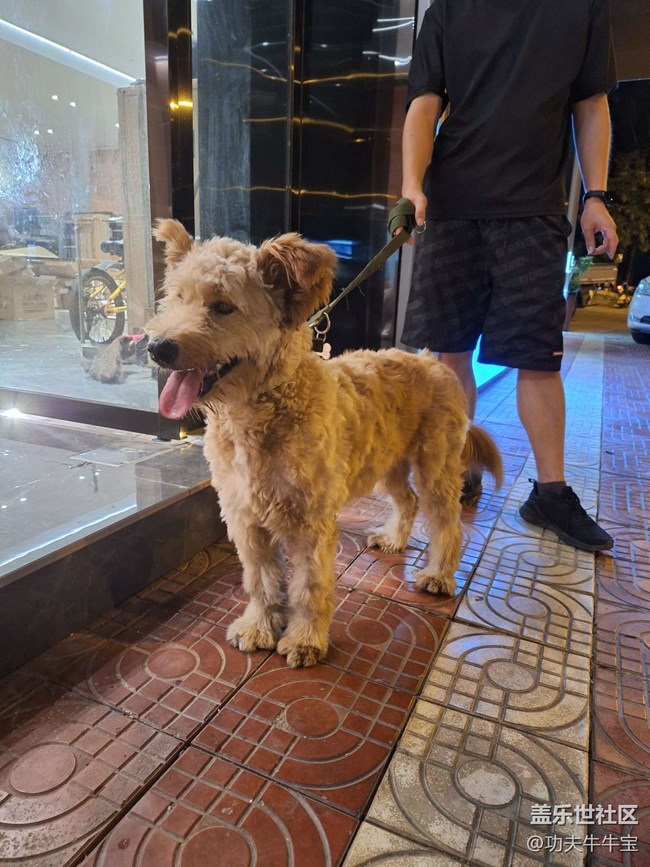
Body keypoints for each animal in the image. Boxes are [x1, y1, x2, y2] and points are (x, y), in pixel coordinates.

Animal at [147, 220, 502, 667]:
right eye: (176, 298)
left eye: (223, 306)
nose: (158, 348)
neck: (260, 412)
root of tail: (428, 359)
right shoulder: (244, 517)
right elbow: (261, 580)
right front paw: (259, 626)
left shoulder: (311, 523)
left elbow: (309, 586)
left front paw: (305, 639)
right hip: (387, 463)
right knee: (407, 502)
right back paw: (394, 539)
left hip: (435, 467)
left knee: (447, 525)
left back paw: (438, 574)